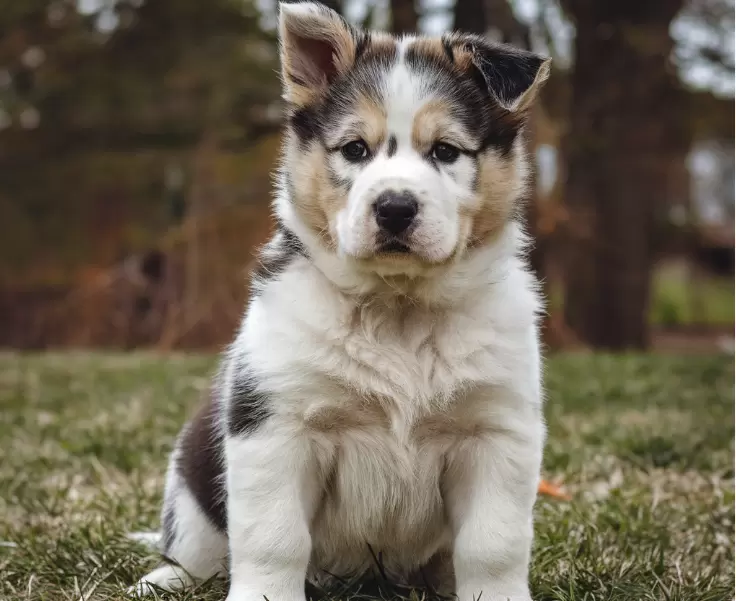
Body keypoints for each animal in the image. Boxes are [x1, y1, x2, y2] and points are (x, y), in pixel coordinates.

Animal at [132, 2, 548, 596]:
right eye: (355, 149)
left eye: (445, 151)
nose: (395, 208)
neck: (398, 310)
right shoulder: (274, 426)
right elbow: (274, 538)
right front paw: (263, 593)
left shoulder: (498, 430)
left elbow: (494, 545)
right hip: (192, 473)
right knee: (194, 546)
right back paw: (162, 578)